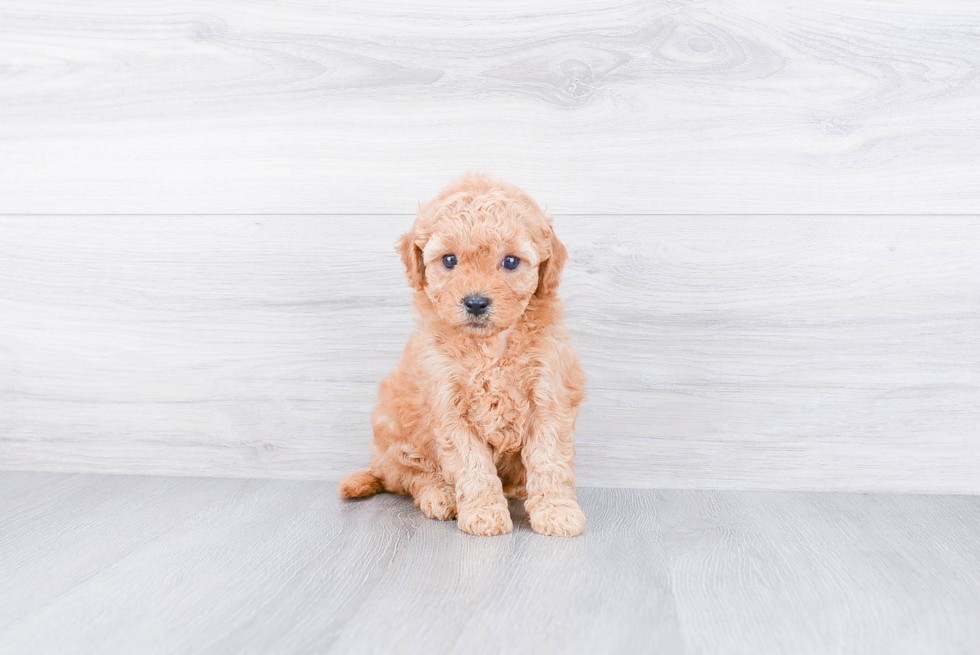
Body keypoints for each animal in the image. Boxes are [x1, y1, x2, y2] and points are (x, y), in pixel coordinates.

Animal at [338, 174, 580, 540]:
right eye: (449, 260)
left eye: (511, 261)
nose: (476, 302)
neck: (489, 346)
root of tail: (379, 465)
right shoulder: (449, 406)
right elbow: (472, 466)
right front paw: (484, 513)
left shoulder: (548, 395)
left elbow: (550, 461)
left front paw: (557, 511)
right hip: (398, 435)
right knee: (414, 477)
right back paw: (441, 496)